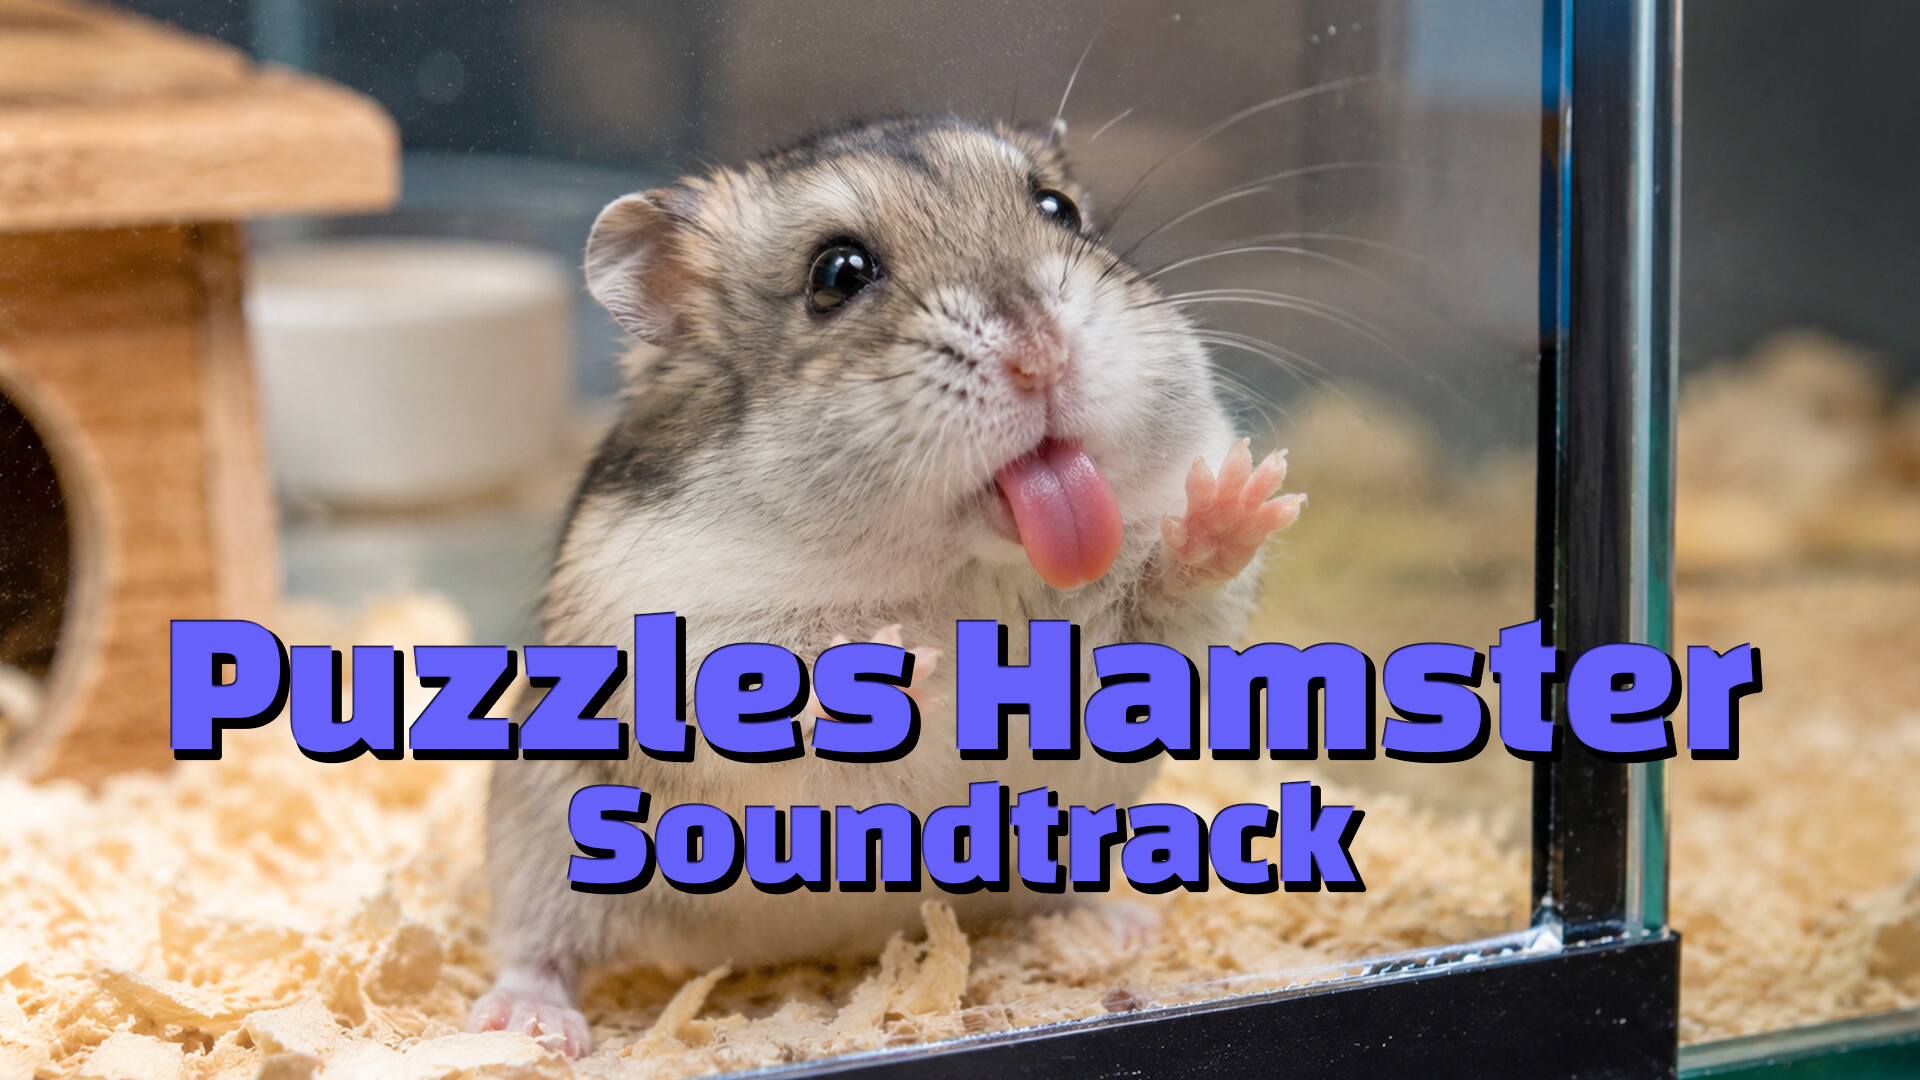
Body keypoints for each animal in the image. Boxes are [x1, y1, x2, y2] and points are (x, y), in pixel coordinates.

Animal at [469, 116, 1304, 1055]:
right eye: (837, 274)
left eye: (1058, 209)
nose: (1041, 353)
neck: (971, 563)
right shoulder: (685, 635)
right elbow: (796, 686)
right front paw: (905, 660)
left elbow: (1168, 596)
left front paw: (1239, 499)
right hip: (543, 844)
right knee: (538, 947)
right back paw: (530, 1028)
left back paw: (1119, 926)